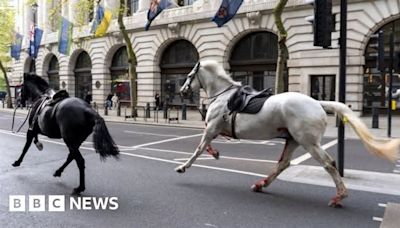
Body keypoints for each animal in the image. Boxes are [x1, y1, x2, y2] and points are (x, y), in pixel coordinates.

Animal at [175, 59, 400, 208]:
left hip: (309, 142)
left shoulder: (212, 127)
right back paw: (261, 184)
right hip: (293, 140)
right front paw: (215, 153)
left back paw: (339, 196)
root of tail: (318, 103)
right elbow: (206, 145)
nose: (182, 91)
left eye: (189, 76)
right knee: (283, 163)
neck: (224, 96)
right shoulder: (215, 129)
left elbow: (199, 148)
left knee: (329, 163)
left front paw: (183, 167)